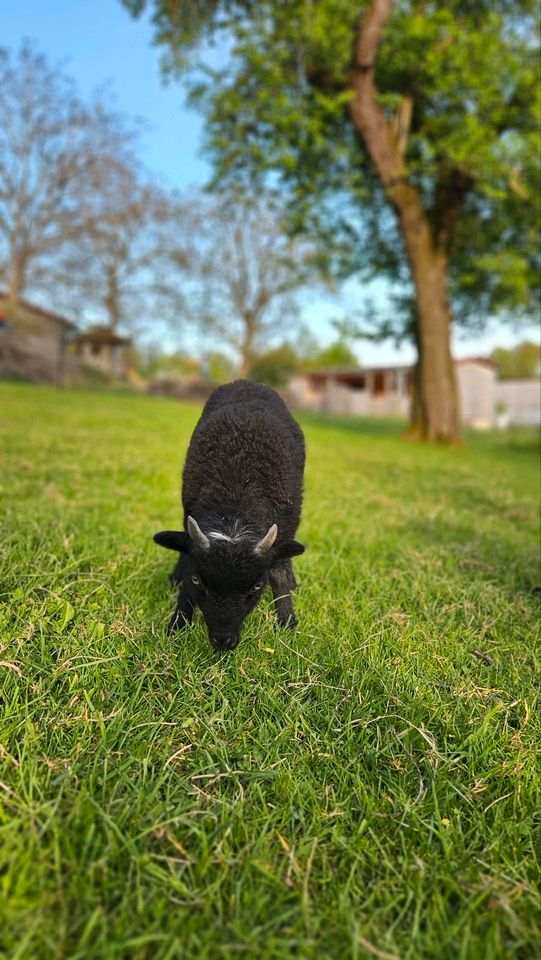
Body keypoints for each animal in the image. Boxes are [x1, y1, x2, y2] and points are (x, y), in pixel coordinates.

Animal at [154, 378, 304, 648]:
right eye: (197, 581)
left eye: (256, 587)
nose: (223, 641)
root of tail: (248, 381)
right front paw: (178, 624)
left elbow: (279, 573)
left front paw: (287, 622)